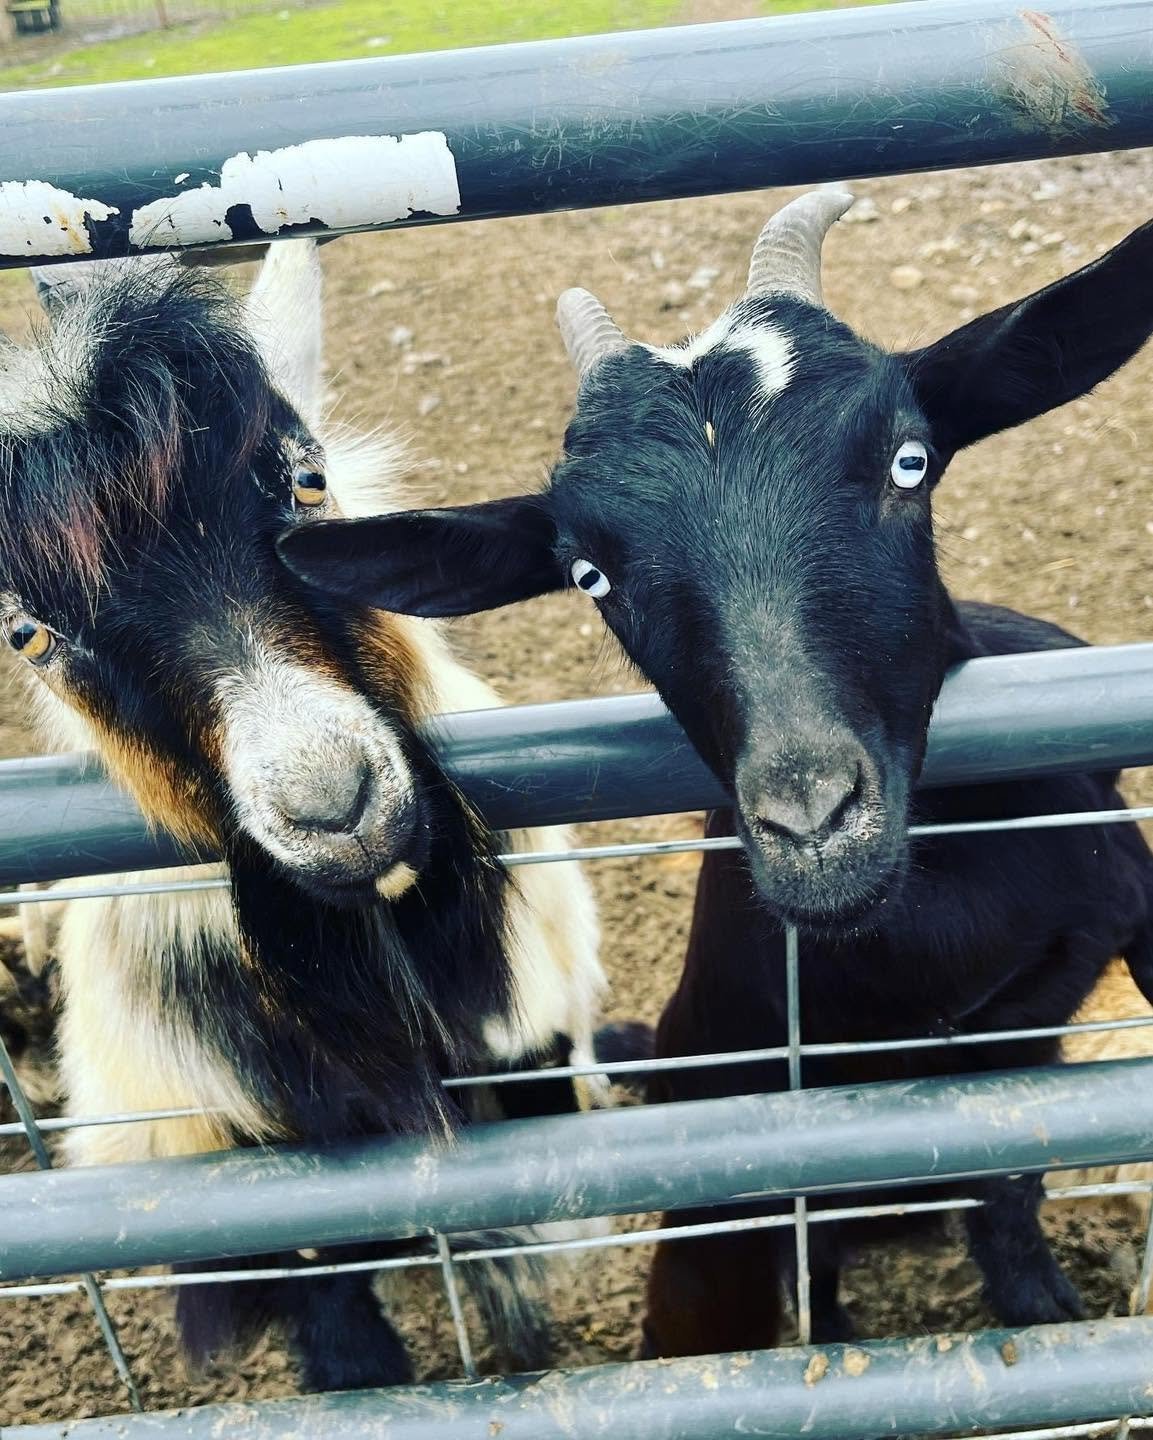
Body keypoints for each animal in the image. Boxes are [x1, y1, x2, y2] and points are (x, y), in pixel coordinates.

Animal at [0, 242, 606, 1390]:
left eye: (306, 478)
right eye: (27, 634)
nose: (335, 804)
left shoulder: (532, 1030)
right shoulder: (258, 1181)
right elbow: (333, 1306)